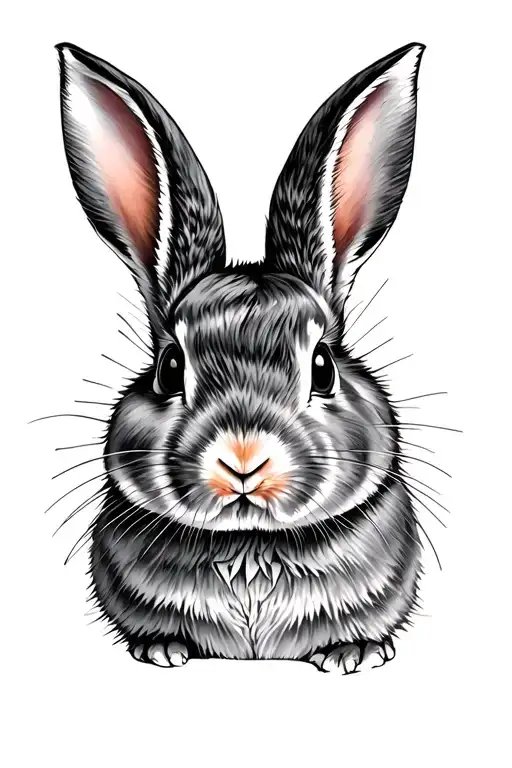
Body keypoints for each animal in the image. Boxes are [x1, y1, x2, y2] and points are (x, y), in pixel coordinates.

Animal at [56, 40, 425, 674]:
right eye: (169, 368)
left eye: (323, 367)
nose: (244, 459)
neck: (251, 542)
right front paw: (163, 649)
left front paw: (352, 653)